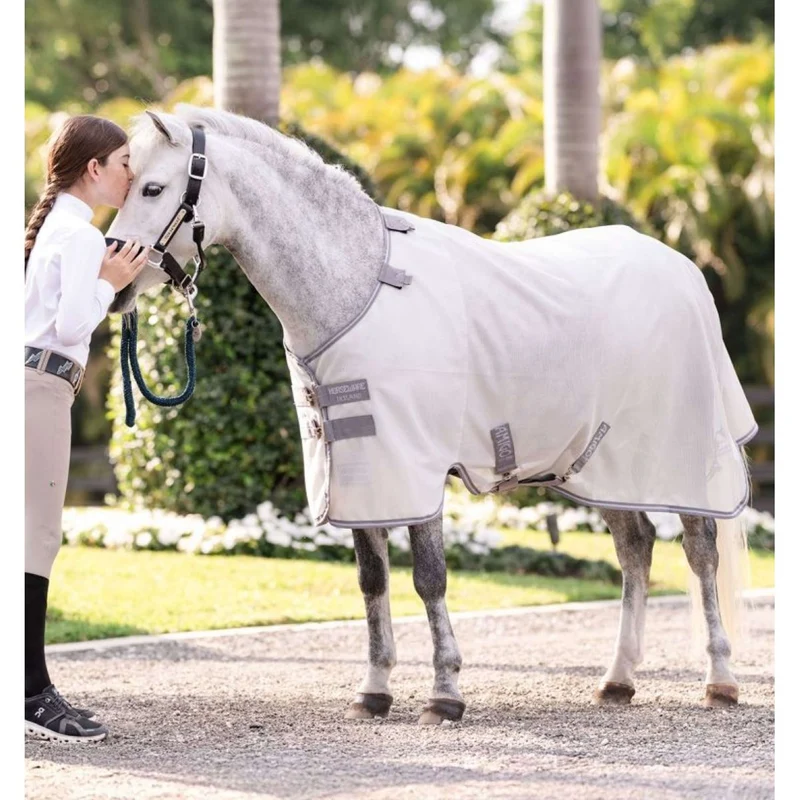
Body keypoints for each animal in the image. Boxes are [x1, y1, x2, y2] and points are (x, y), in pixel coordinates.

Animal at [107, 104, 754, 724]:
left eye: (153, 188)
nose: (114, 285)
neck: (358, 285)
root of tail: (683, 268)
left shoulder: (415, 466)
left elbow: (429, 577)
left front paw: (445, 694)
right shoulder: (361, 468)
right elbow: (373, 582)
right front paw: (374, 692)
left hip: (679, 455)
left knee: (700, 552)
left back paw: (719, 680)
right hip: (602, 464)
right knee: (635, 548)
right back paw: (617, 680)